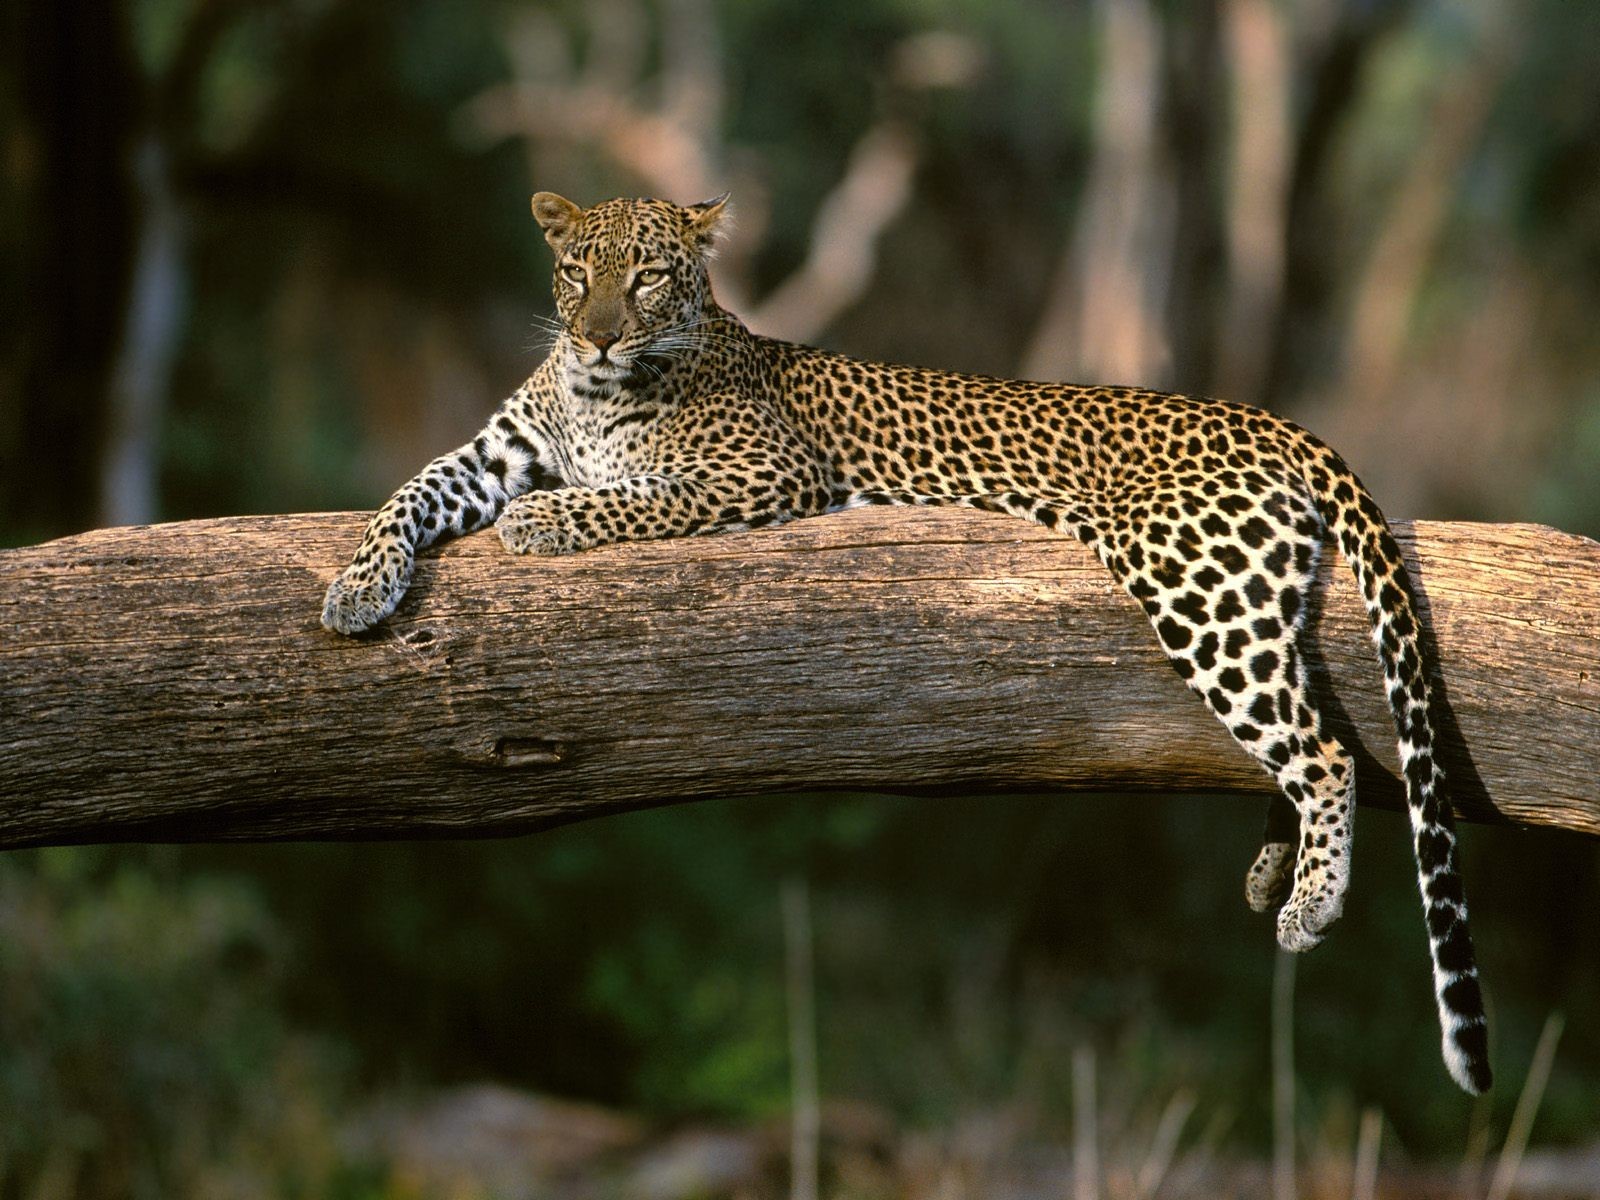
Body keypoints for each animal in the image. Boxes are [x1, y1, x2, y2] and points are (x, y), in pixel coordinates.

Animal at [318, 190, 1491, 1100]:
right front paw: (355, 590)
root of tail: (1271, 420)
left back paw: (1308, 905)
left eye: (647, 278)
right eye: (576, 272)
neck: (595, 388)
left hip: (1193, 583)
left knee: (1324, 749)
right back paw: (1268, 870)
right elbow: (408, 492)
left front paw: (543, 522)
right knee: (1302, 724)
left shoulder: (759, 475)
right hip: (1246, 596)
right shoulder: (489, 454)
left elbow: (623, 500)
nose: (600, 334)